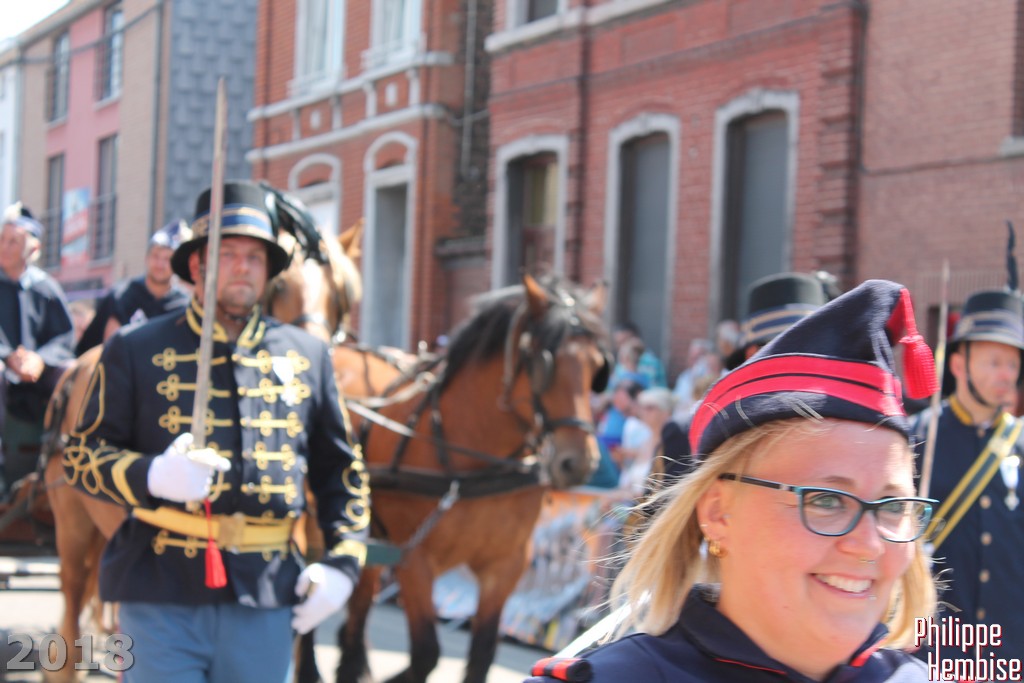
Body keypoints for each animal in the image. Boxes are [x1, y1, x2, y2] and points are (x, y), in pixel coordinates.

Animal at [318, 273, 609, 683]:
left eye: (596, 366)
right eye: (542, 363)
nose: (577, 463)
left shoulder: (506, 564)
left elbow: (482, 653)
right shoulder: (414, 560)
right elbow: (426, 652)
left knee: (356, 615)